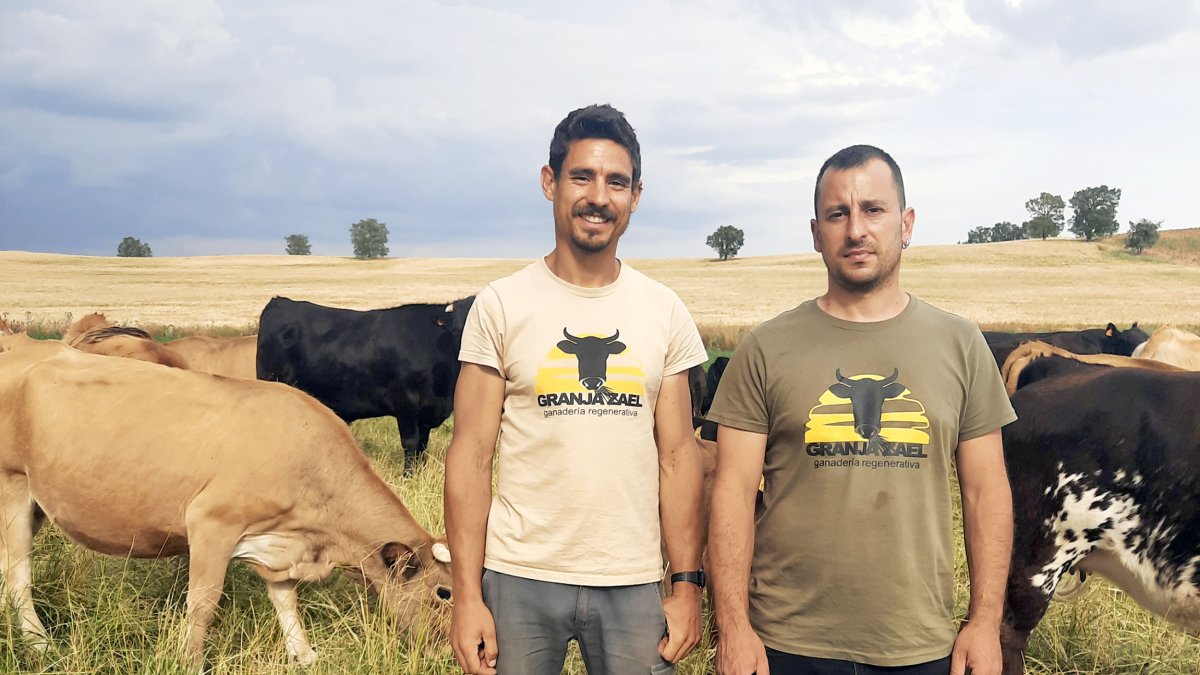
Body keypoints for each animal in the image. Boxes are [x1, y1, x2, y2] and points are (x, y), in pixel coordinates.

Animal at [0, 338, 453, 662]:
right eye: (443, 594)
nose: (453, 653)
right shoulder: (211, 523)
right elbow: (202, 604)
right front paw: (190, 661)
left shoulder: (281, 544)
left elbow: (286, 600)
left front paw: (304, 654)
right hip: (13, 487)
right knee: (18, 574)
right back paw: (39, 643)